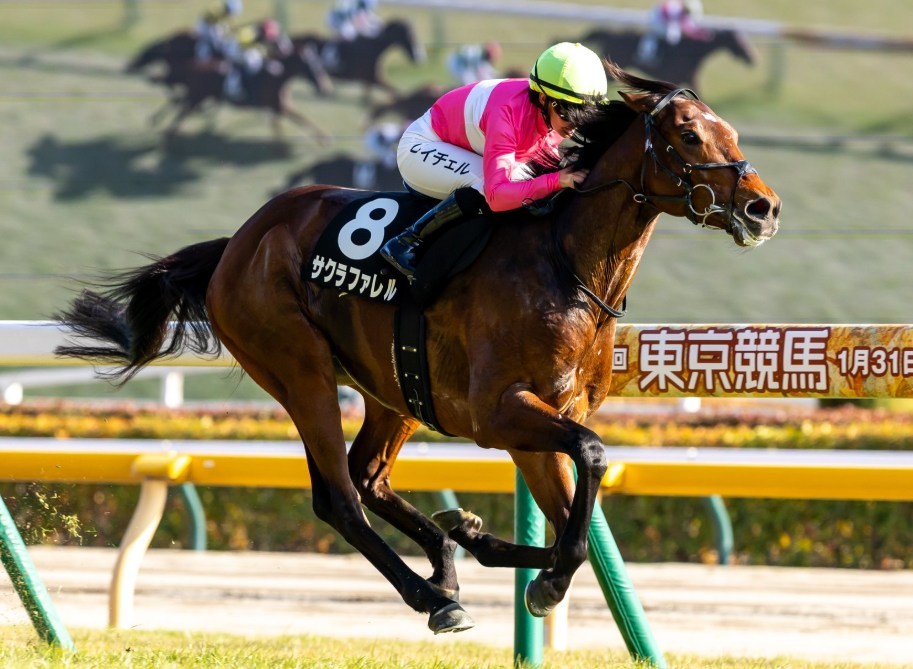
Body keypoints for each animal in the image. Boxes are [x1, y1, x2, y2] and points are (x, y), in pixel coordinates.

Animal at [54, 62, 779, 634]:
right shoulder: (498, 412)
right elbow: (593, 460)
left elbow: (576, 503)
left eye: (735, 135)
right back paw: (434, 596)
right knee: (339, 497)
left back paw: (452, 556)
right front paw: (537, 579)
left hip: (393, 388)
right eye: (689, 135)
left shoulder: (543, 417)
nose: (762, 208)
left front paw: (494, 545)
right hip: (299, 369)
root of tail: (238, 242)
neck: (565, 262)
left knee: (369, 476)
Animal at [291, 19, 425, 100]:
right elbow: (396, 91)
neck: (373, 47)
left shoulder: (372, 79)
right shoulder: (373, 78)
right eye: (409, 35)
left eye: (414, 35)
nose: (418, 56)